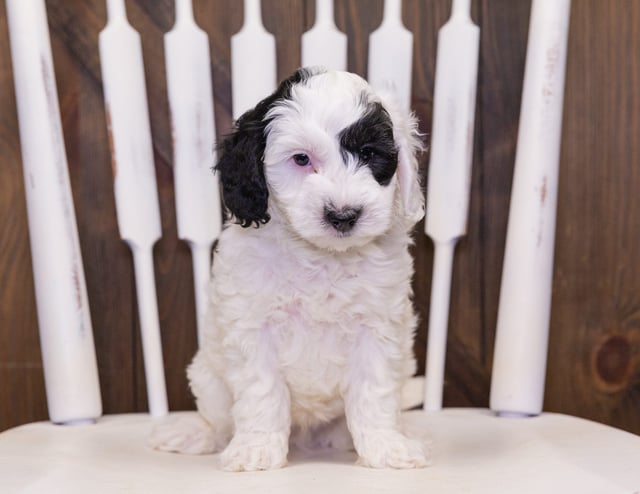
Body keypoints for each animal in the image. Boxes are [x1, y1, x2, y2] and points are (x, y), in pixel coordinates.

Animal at [152, 66, 428, 470]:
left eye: (368, 154)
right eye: (301, 159)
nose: (343, 216)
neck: (322, 258)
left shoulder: (377, 329)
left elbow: (373, 393)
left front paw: (385, 447)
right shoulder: (253, 329)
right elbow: (262, 392)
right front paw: (256, 449)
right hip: (207, 377)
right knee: (218, 419)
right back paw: (198, 433)